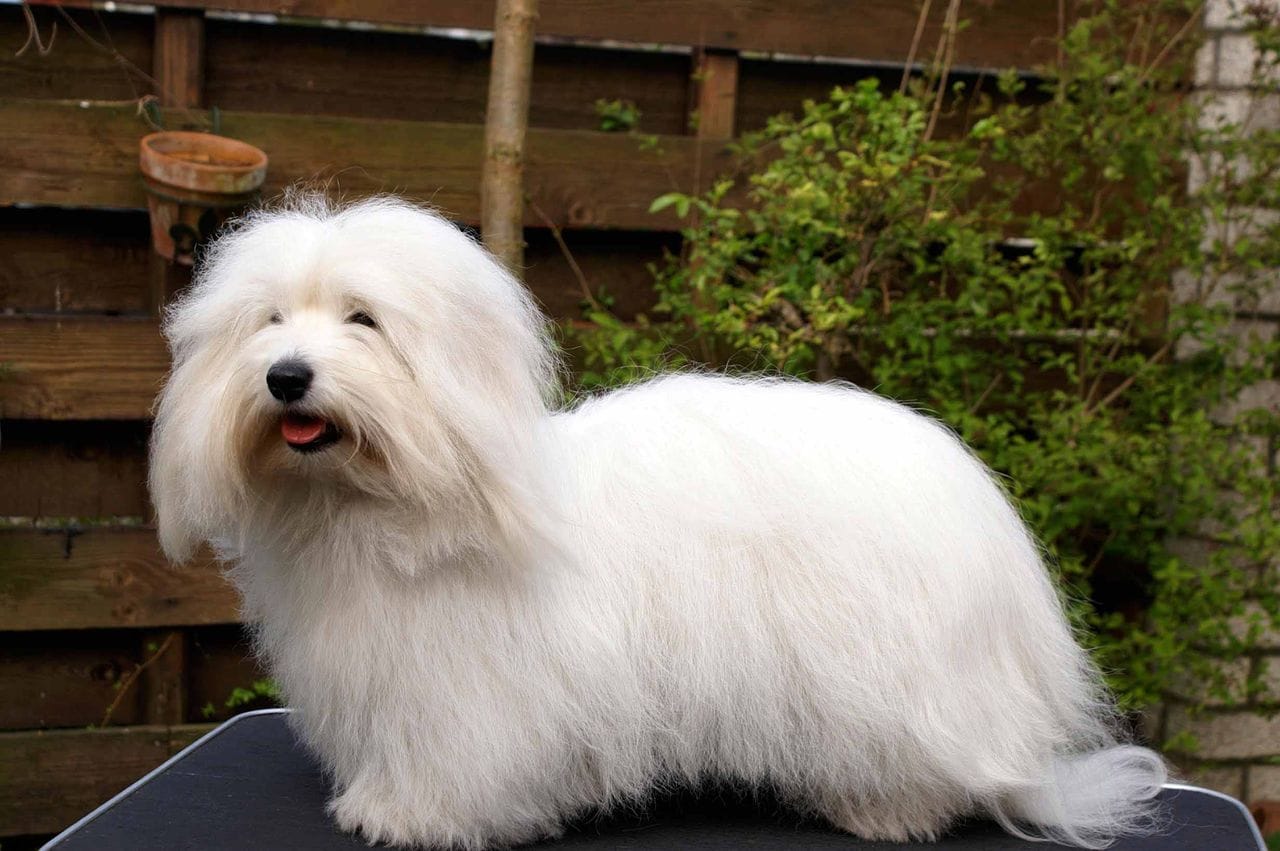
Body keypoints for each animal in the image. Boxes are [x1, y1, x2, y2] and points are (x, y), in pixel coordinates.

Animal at [149, 195, 1172, 844]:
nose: (287, 376)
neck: (381, 502)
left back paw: (886, 811)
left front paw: (419, 818)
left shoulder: (473, 692)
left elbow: (462, 759)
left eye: (362, 320)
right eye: (268, 322)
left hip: (900, 675)